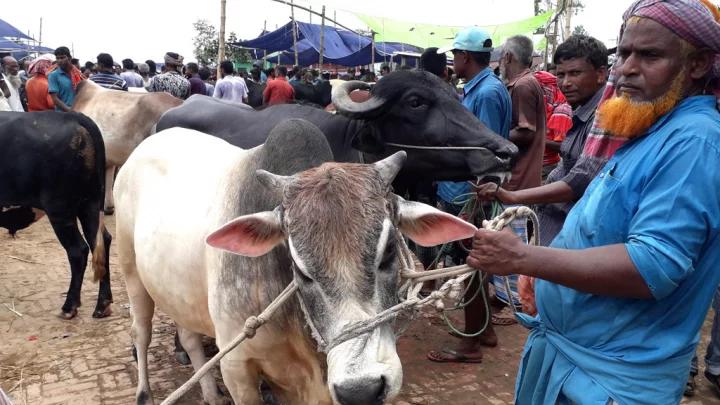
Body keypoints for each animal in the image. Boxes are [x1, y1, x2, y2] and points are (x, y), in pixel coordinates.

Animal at [0, 110, 112, 318]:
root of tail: (73, 116)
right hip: (90, 204)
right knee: (101, 242)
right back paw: (102, 304)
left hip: (60, 210)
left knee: (78, 250)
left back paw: (69, 306)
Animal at [114, 118, 478, 402]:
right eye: (299, 269)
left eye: (389, 251)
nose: (361, 389)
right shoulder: (238, 368)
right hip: (131, 270)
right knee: (140, 332)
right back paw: (144, 393)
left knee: (189, 338)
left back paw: (210, 395)